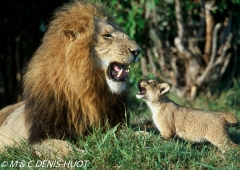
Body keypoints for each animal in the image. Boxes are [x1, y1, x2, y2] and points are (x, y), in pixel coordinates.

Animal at [0, 0, 141, 156]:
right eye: (107, 35)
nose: (138, 51)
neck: (88, 89)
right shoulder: (37, 139)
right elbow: (64, 147)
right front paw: (84, 153)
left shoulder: (113, 126)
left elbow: (134, 133)